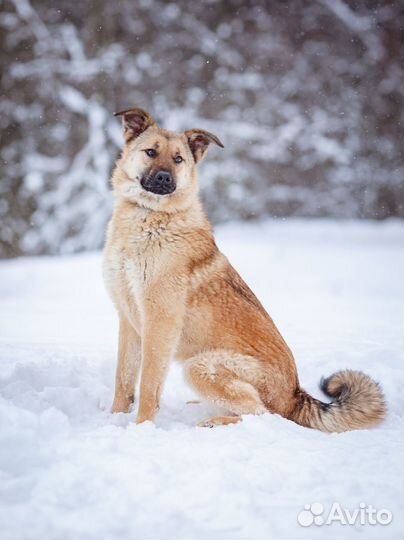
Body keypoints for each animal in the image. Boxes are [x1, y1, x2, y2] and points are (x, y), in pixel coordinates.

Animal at [102, 108, 386, 430]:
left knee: (262, 414)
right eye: (151, 152)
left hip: (201, 366)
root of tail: (295, 395)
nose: (164, 178)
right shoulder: (128, 321)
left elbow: (149, 386)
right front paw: (114, 420)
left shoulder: (159, 323)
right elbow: (123, 381)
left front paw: (142, 428)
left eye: (178, 159)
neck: (149, 217)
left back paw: (212, 423)